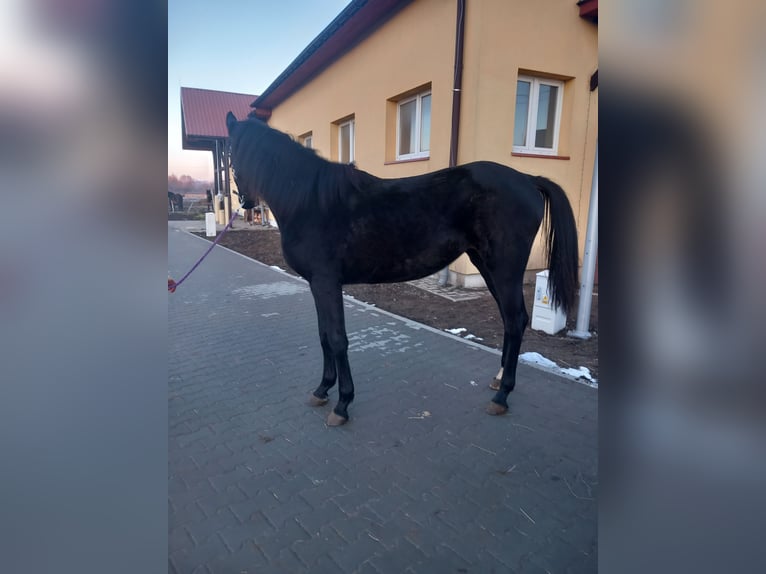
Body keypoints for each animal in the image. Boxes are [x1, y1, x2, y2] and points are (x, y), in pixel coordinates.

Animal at [228, 112, 584, 428]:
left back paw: (502, 396)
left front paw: (342, 404)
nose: (246, 203)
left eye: (231, 155)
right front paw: (322, 390)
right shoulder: (316, 284)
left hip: (504, 268)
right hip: (487, 265)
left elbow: (338, 338)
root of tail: (527, 180)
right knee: (513, 322)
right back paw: (498, 382)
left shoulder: (327, 282)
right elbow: (324, 336)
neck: (311, 201)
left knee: (515, 319)